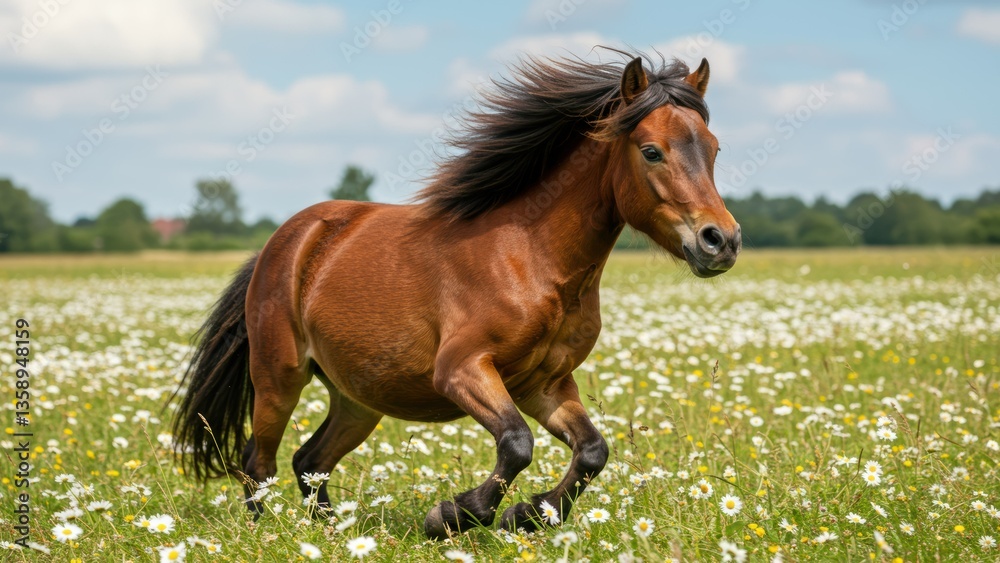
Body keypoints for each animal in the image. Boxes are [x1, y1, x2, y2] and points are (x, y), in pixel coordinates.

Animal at [171, 50, 741, 539]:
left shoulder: (545, 384)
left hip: (357, 399)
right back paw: (268, 533)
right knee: (258, 462)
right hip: (278, 378)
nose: (721, 241)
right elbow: (517, 443)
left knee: (309, 462)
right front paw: (453, 515)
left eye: (714, 149)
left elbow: (592, 451)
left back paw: (333, 531)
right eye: (651, 151)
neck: (529, 256)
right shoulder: (461, 369)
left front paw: (530, 515)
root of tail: (287, 239)